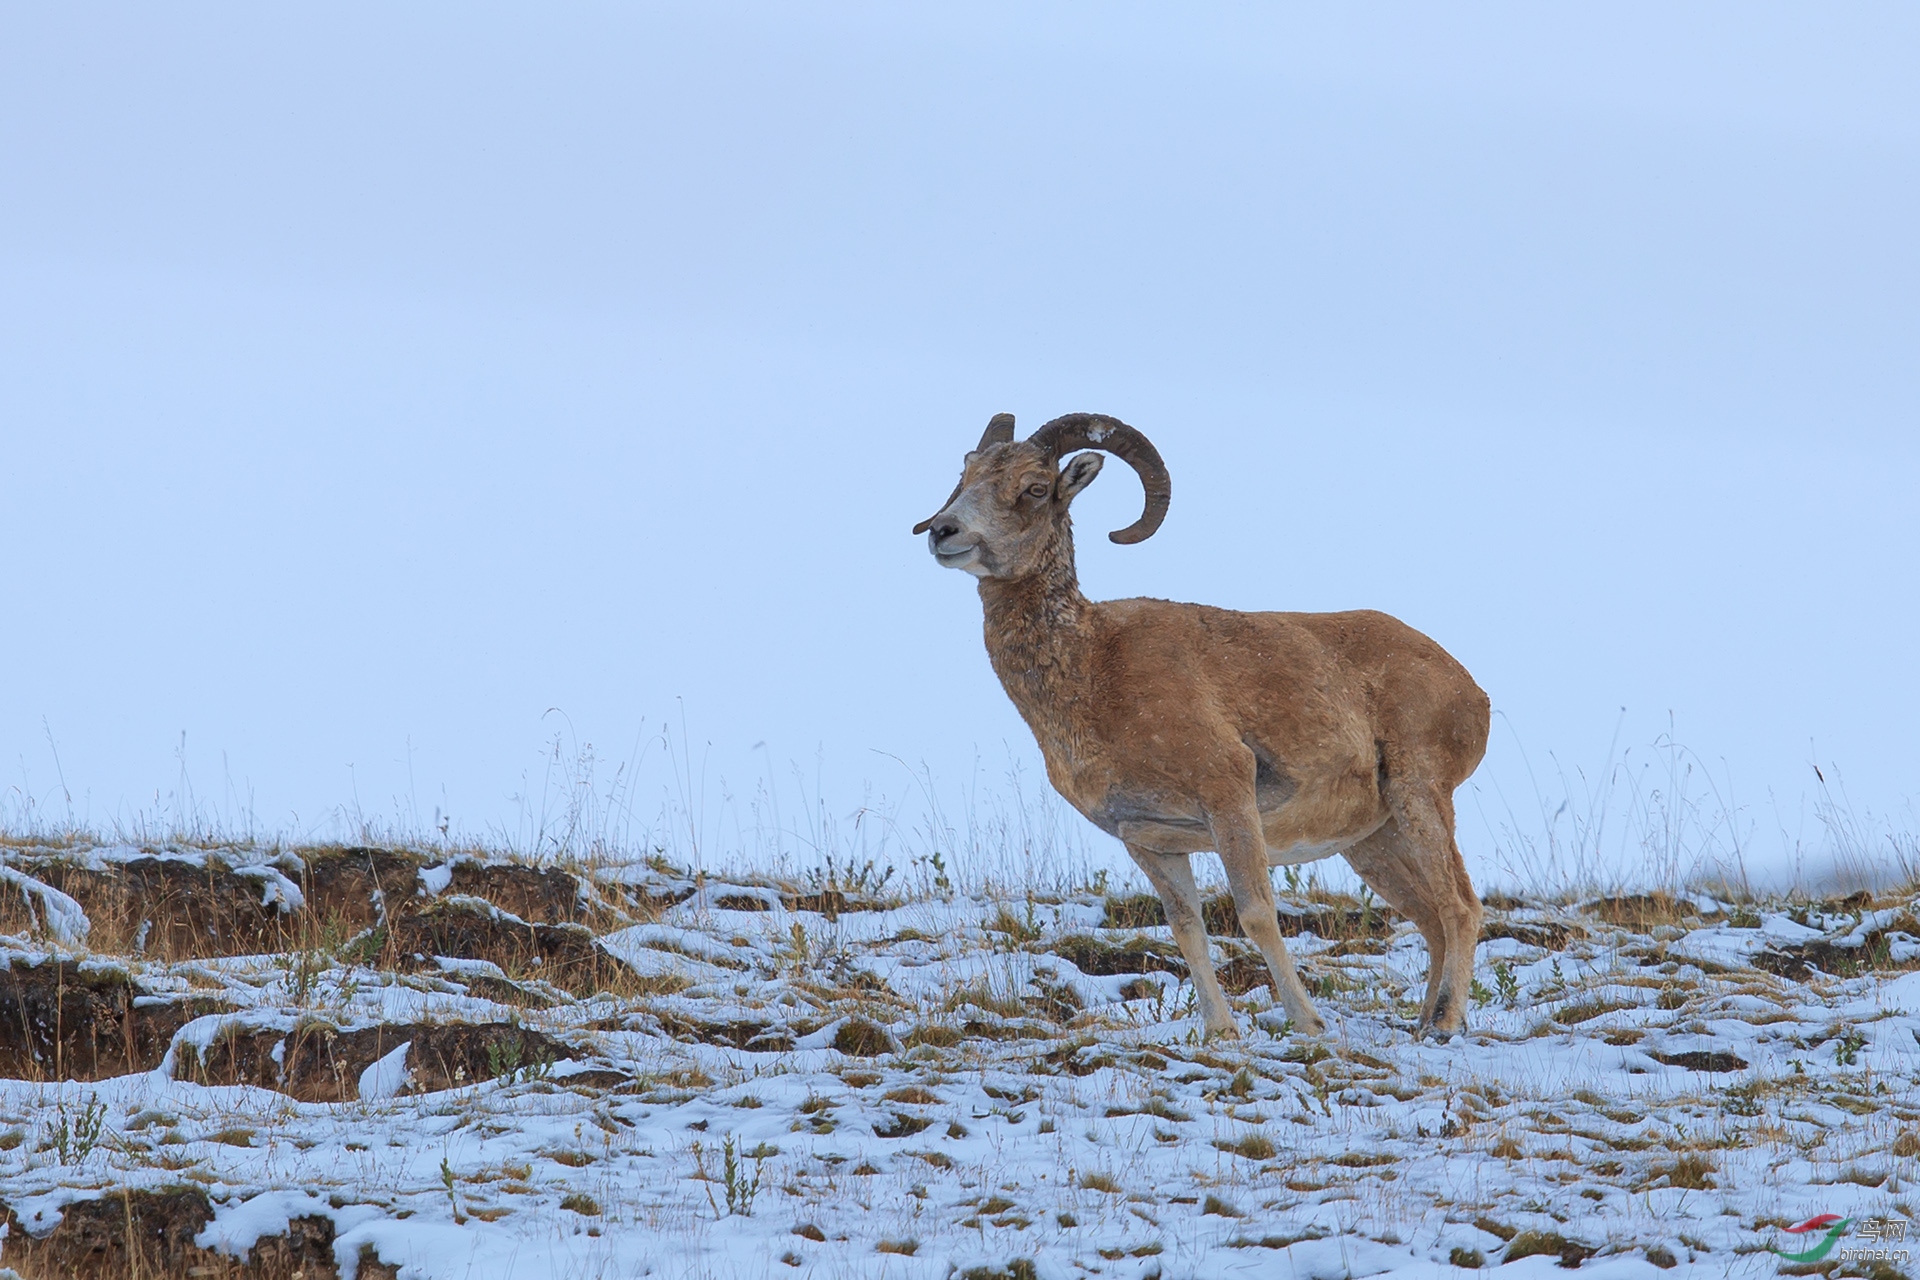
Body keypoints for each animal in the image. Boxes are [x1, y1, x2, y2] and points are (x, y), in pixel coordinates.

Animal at [921, 412, 1489, 1043]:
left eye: (1035, 488)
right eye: (968, 472)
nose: (943, 532)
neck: (1094, 670)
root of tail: (1469, 689)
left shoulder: (1229, 798)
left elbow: (1256, 914)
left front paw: (1307, 1022)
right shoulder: (1150, 841)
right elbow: (1186, 926)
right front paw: (1221, 1032)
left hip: (1421, 796)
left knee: (1461, 908)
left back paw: (1445, 1024)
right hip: (1374, 842)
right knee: (1432, 919)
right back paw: (1420, 1026)